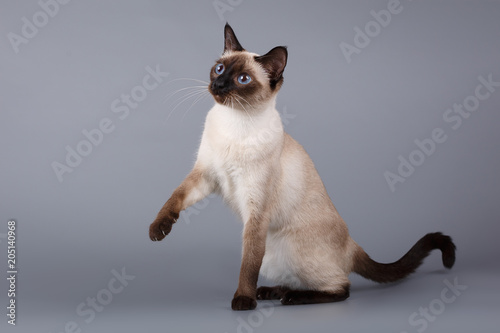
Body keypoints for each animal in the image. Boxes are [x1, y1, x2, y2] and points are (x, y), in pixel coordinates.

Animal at [146, 24, 456, 310]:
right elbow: (175, 197)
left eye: (243, 79)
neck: (234, 123)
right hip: (273, 256)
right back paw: (272, 292)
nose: (219, 86)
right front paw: (158, 230)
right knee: (297, 280)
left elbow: (248, 264)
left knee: (341, 288)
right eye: (219, 69)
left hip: (290, 250)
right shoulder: (206, 176)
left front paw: (243, 300)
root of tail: (352, 244)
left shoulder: (256, 211)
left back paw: (292, 298)